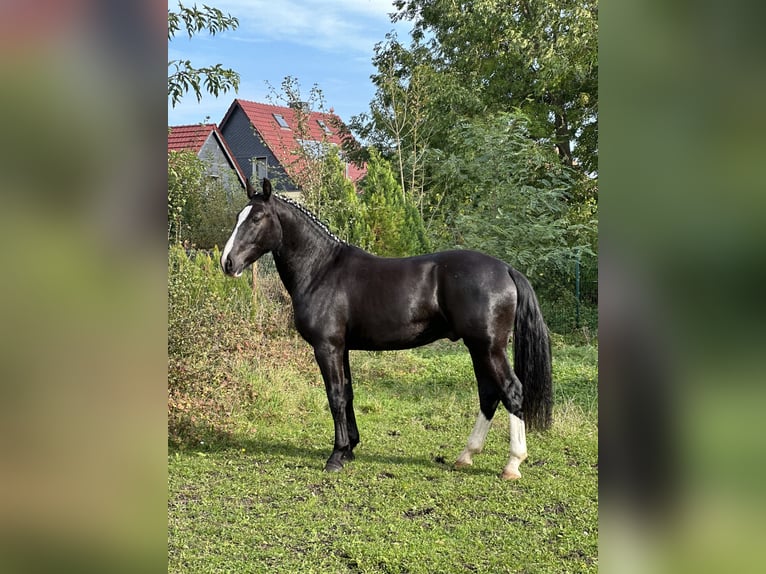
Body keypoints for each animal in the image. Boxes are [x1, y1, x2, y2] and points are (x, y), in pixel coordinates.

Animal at [222, 181, 552, 482]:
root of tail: (506, 269)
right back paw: (466, 455)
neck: (321, 270)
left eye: (256, 218)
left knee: (511, 390)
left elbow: (335, 396)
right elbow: (348, 394)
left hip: (488, 348)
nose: (228, 262)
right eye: (239, 215)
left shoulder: (327, 347)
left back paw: (512, 464)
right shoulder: (342, 348)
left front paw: (336, 455)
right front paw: (350, 449)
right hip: (478, 348)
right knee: (488, 394)